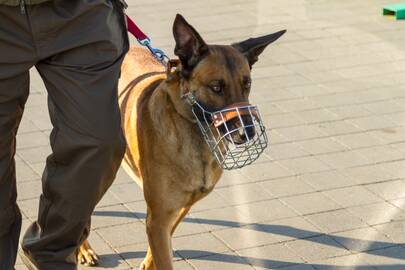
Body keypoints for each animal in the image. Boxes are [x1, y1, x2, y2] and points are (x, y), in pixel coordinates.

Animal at [76, 14, 284, 270]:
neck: (195, 135)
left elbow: (163, 244)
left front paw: (149, 262)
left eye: (247, 84)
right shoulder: (159, 217)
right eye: (216, 87)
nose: (248, 132)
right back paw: (82, 249)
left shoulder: (176, 210)